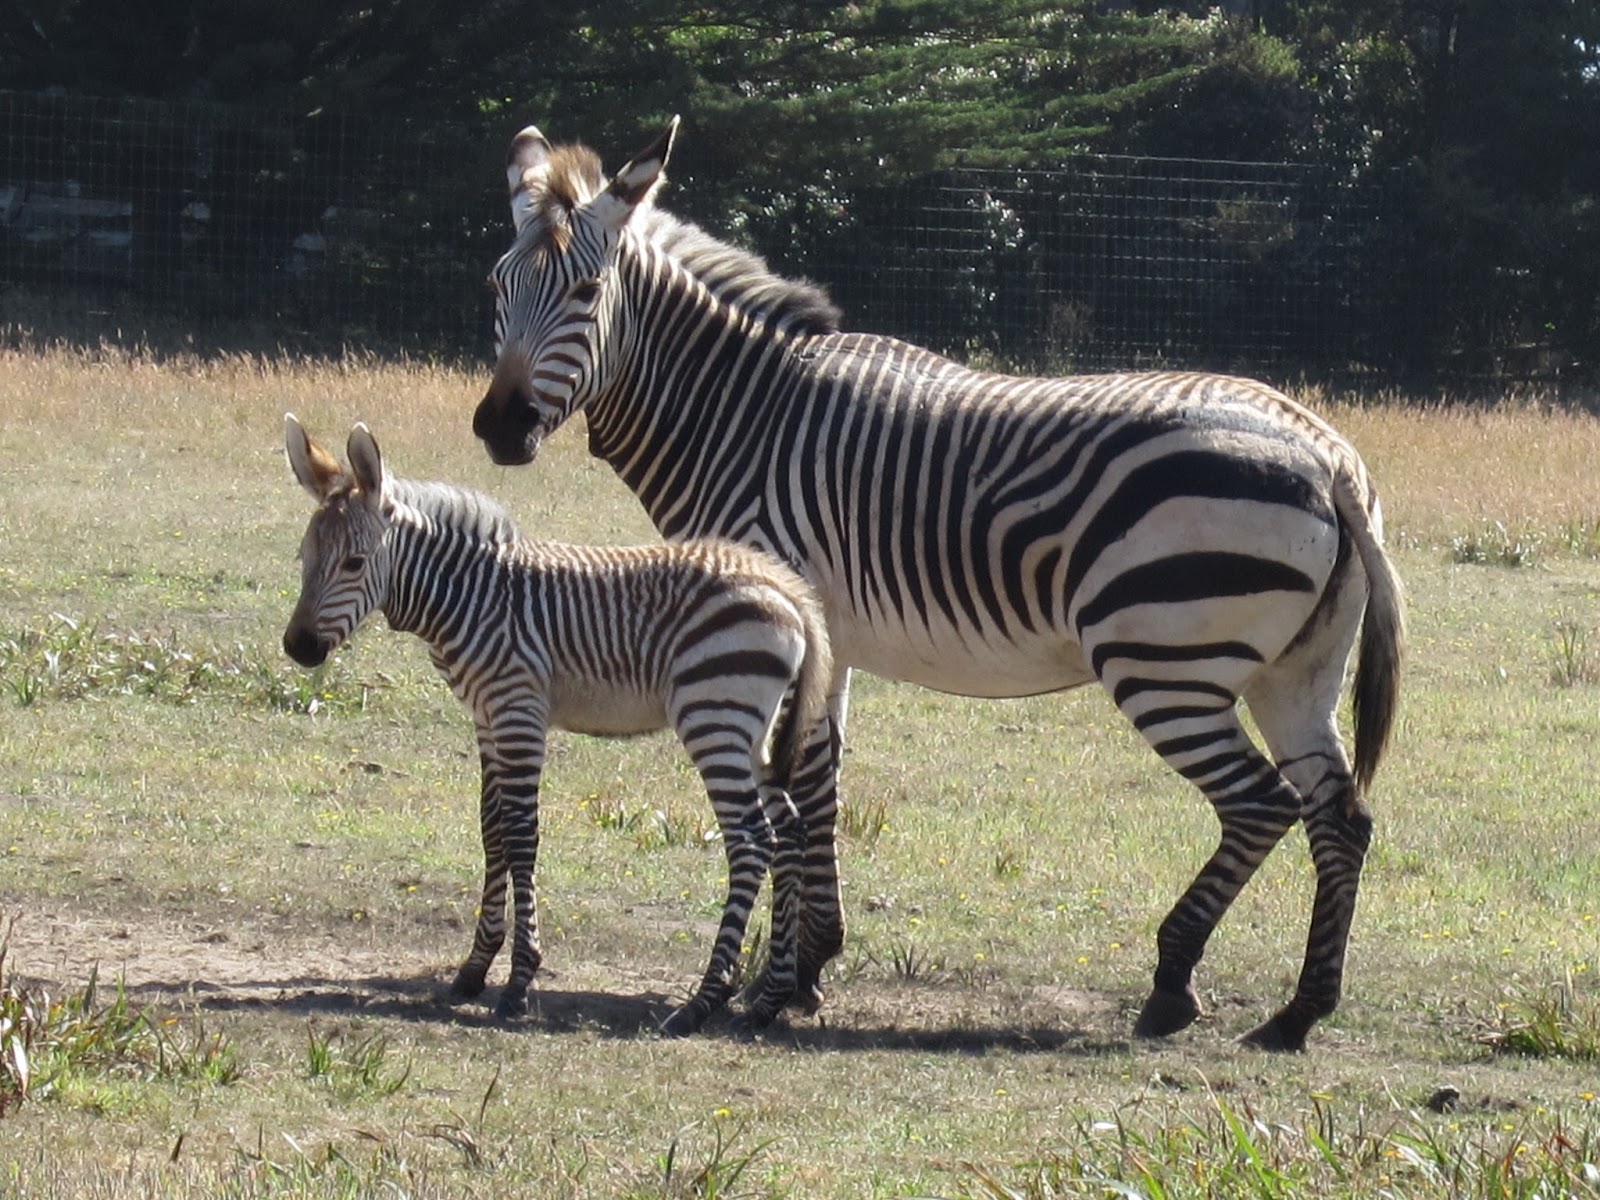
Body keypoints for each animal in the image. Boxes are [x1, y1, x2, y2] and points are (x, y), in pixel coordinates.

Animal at [280, 414, 832, 1035]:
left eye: (353, 563)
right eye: (303, 556)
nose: (298, 648)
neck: (470, 595)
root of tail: (787, 590)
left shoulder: (518, 711)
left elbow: (521, 836)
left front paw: (519, 982)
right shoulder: (487, 718)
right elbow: (492, 831)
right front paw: (474, 968)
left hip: (713, 717)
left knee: (752, 839)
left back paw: (704, 1000)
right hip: (753, 731)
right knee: (789, 831)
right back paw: (768, 999)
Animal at [468, 120, 1405, 1051]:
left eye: (587, 291)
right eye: (497, 285)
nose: (501, 428)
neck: (740, 412)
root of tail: (1326, 453)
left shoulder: (770, 614)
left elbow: (791, 780)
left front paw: (778, 981)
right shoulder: (823, 636)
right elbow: (820, 781)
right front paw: (810, 966)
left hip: (1163, 657)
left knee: (1261, 804)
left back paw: (1174, 982)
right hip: (1296, 671)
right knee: (1339, 814)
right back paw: (1300, 1009)